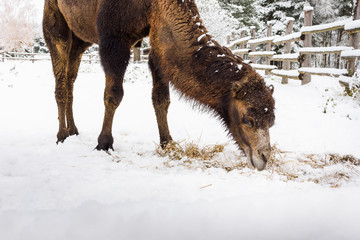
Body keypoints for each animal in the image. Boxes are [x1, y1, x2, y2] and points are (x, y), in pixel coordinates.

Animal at [42, 0, 274, 171]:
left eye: (271, 121)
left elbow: (161, 98)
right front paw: (104, 143)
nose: (263, 158)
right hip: (55, 22)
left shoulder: (158, 45)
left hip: (81, 39)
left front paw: (167, 142)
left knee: (70, 78)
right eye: (247, 119)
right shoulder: (114, 38)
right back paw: (61, 135)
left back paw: (73, 130)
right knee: (60, 80)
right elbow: (114, 95)